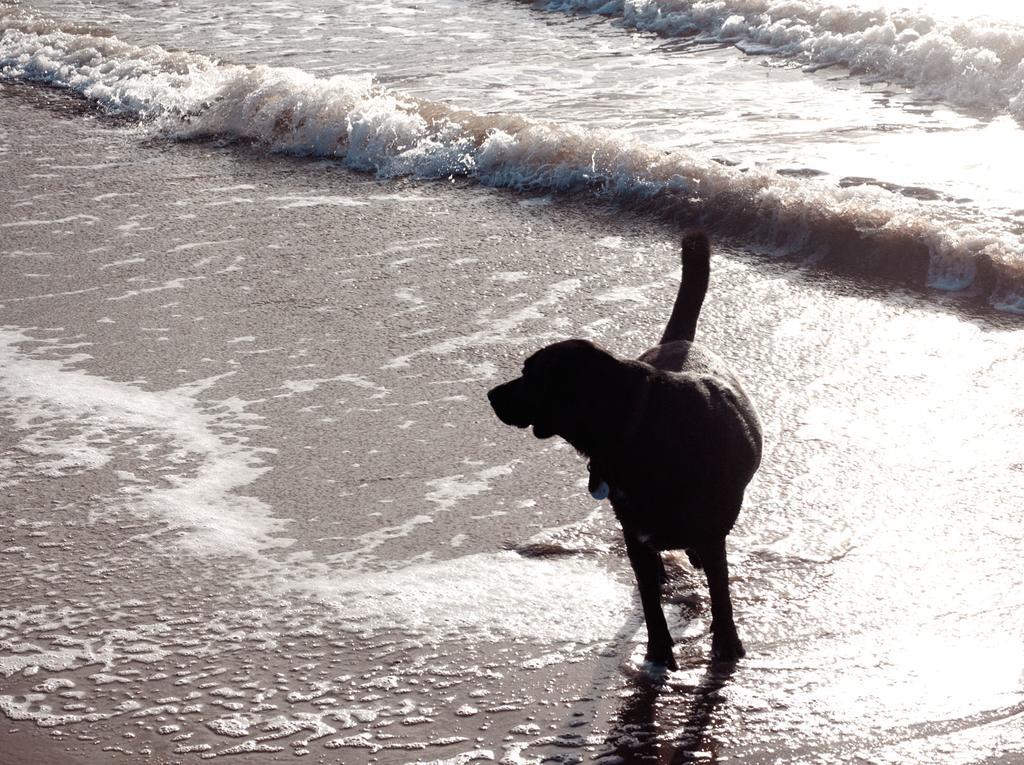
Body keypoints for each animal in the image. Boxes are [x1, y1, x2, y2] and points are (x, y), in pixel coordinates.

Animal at [487, 230, 761, 667]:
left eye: (531, 375)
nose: (491, 395)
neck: (638, 425)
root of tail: (678, 341)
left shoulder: (707, 529)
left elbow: (720, 592)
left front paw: (726, 645)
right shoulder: (635, 531)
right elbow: (650, 600)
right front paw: (658, 652)